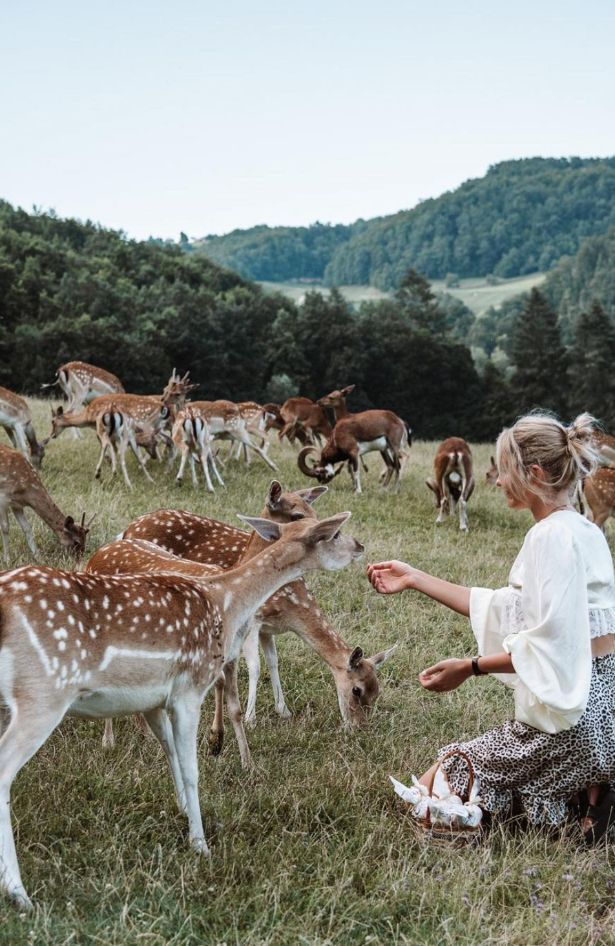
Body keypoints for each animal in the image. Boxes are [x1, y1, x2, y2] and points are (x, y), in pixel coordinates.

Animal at [0, 506, 360, 912]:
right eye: (334, 533)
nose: (360, 547)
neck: (225, 602)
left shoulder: (155, 698)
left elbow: (170, 752)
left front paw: (184, 812)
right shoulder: (190, 688)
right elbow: (192, 768)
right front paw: (200, 844)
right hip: (42, 694)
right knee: (4, 771)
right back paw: (19, 893)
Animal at [113, 480, 398, 732]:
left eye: (377, 692)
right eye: (356, 690)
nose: (359, 728)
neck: (293, 609)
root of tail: (127, 529)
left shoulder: (269, 629)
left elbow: (273, 662)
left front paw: (283, 710)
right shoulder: (255, 620)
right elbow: (255, 665)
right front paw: (251, 718)